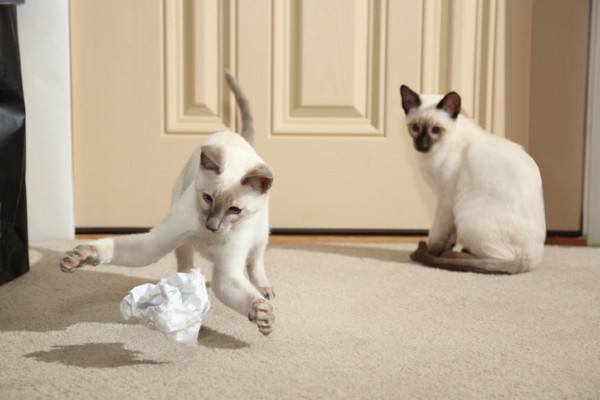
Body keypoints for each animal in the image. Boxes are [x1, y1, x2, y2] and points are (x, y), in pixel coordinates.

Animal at [59, 71, 276, 334]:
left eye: (234, 210)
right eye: (207, 198)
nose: (211, 226)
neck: (209, 238)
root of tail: (237, 137)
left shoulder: (227, 274)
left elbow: (247, 294)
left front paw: (262, 314)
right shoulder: (156, 242)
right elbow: (110, 248)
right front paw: (79, 257)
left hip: (259, 235)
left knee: (256, 262)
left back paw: (263, 289)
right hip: (182, 241)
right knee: (186, 263)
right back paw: (188, 288)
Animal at [400, 85, 548, 276]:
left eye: (436, 130)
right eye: (415, 127)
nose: (422, 145)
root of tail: (533, 259)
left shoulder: (446, 199)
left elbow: (437, 235)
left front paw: (433, 251)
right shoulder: (446, 202)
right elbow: (450, 235)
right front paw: (445, 247)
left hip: (467, 217)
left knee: (496, 260)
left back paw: (450, 255)